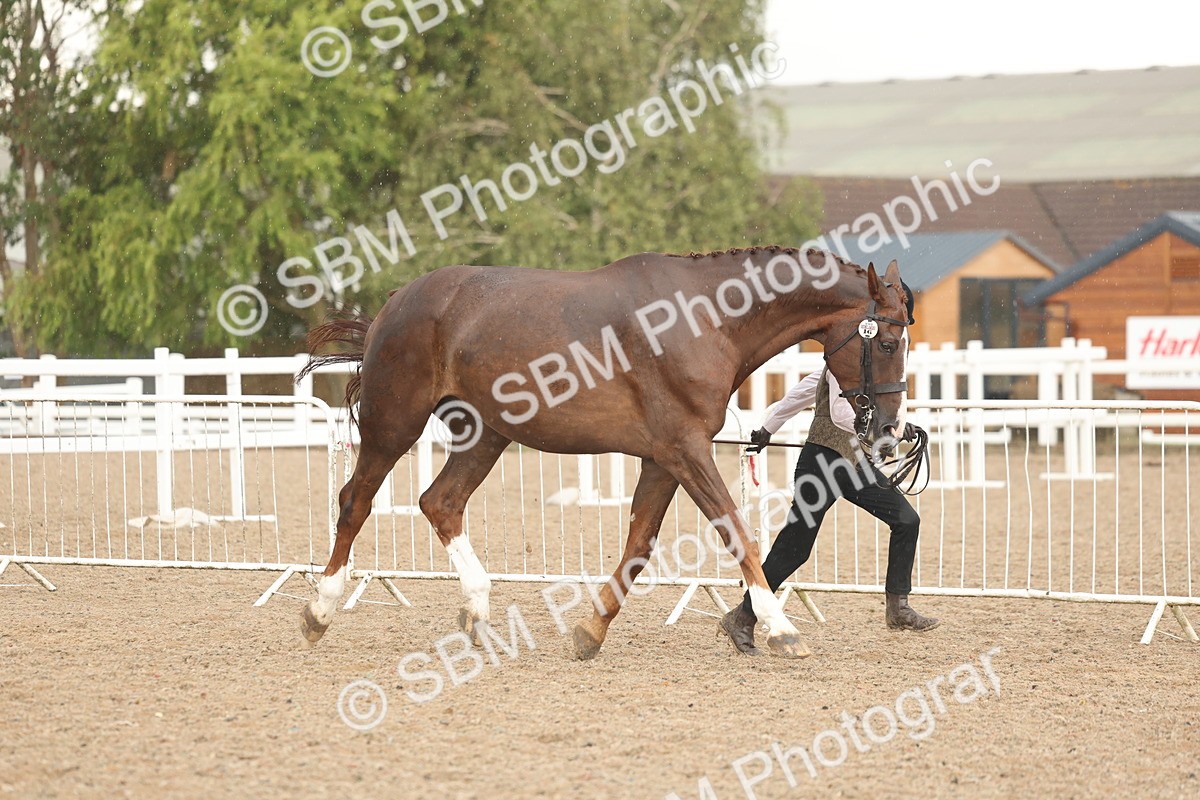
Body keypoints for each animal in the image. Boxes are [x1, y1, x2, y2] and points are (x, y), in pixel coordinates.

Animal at [296, 248, 911, 659]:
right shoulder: (686, 449)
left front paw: (590, 632)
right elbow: (736, 531)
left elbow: (639, 544)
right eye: (886, 341)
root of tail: (398, 300)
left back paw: (477, 611)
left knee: (441, 502)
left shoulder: (663, 458)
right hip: (394, 423)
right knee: (355, 501)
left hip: (485, 434)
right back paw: (320, 609)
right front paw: (781, 629)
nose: (888, 430)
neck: (704, 320)